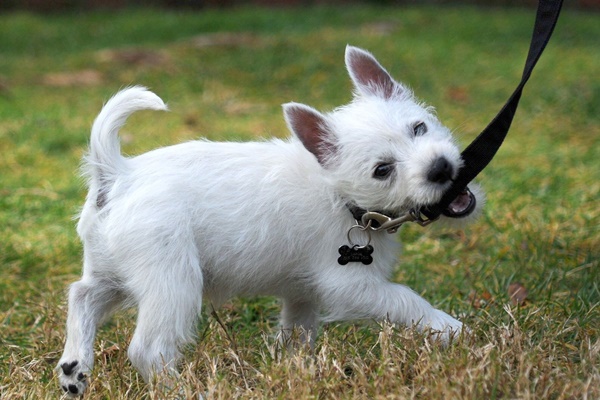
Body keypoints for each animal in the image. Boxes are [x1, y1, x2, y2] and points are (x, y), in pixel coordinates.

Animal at [57, 45, 482, 396]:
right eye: (382, 170)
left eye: (418, 128)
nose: (441, 168)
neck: (340, 195)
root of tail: (119, 173)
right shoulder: (352, 286)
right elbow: (406, 299)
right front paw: (452, 329)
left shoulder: (302, 293)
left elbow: (297, 332)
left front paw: (294, 368)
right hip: (172, 283)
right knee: (147, 349)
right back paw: (180, 390)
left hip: (114, 272)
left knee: (82, 295)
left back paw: (74, 368)